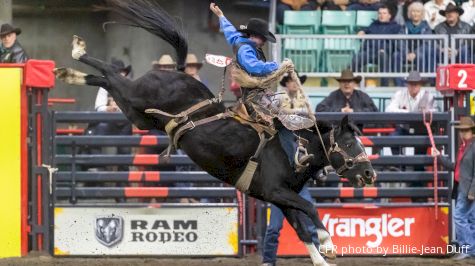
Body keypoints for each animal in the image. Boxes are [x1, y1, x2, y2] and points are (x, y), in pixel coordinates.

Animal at [54, 1, 376, 264]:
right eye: (349, 142)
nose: (370, 173)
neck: (296, 149)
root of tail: (177, 72)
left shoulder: (278, 198)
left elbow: (301, 228)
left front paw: (322, 255)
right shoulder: (277, 191)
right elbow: (310, 210)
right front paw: (329, 244)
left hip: (138, 114)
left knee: (105, 80)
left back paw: (69, 71)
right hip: (136, 98)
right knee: (111, 74)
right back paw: (78, 51)